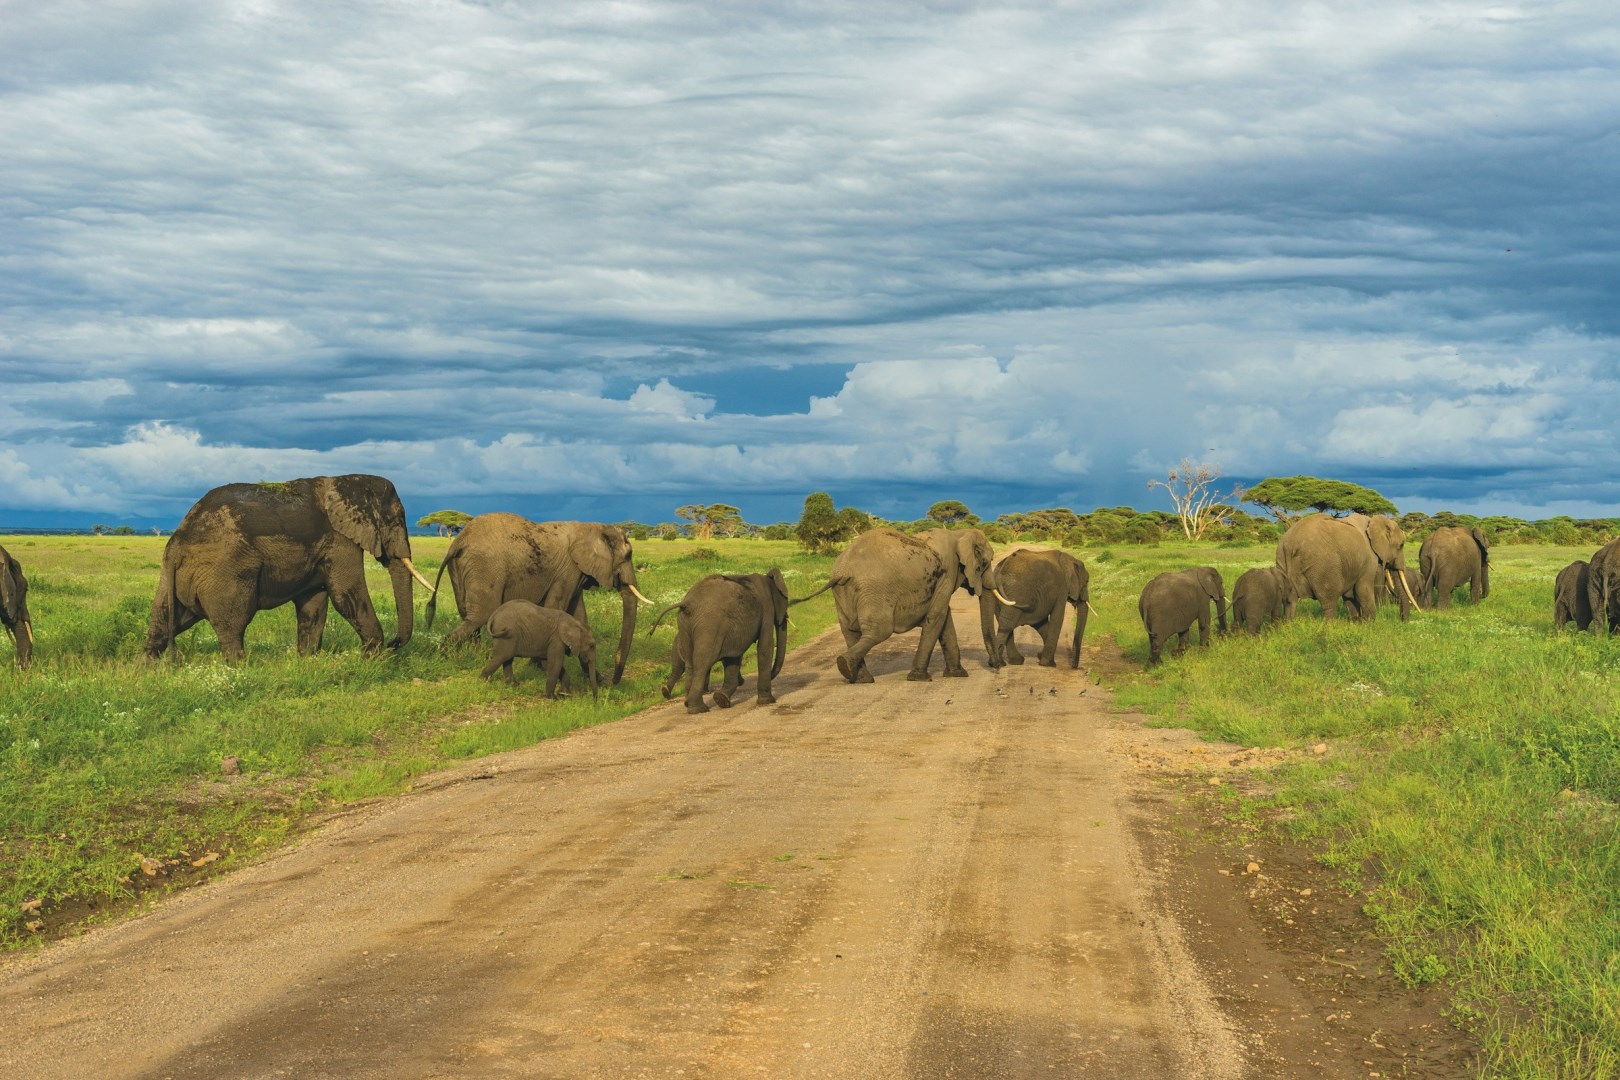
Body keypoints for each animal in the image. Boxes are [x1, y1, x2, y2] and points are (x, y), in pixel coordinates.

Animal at [143, 474, 433, 662]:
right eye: (397, 519)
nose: (395, 645)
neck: (347, 481)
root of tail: (177, 542)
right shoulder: (339, 540)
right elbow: (345, 594)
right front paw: (373, 661)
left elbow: (313, 604)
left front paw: (307, 662)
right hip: (225, 573)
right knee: (233, 625)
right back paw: (240, 670)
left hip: (174, 577)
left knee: (165, 620)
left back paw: (145, 672)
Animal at [425, 514, 651, 684]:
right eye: (628, 555)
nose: (615, 681)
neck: (593, 527)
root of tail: (458, 541)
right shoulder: (568, 571)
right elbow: (556, 607)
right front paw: (542, 666)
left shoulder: (577, 573)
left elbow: (579, 617)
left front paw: (596, 679)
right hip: (485, 567)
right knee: (480, 615)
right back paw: (443, 657)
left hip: (462, 568)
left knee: (468, 615)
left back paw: (473, 655)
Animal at [649, 569, 789, 714]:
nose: (772, 674)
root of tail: (686, 603)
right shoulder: (767, 609)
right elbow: (765, 648)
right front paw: (767, 701)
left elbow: (733, 657)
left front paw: (722, 699)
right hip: (708, 625)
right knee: (702, 663)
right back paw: (698, 709)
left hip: (684, 625)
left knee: (690, 664)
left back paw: (687, 703)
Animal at [1277, 514, 1415, 622]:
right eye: (1401, 545)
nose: (1404, 621)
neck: (1374, 520)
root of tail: (1290, 545)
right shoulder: (1369, 560)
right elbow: (1363, 590)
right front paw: (1369, 624)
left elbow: (1349, 595)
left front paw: (1356, 623)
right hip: (1322, 566)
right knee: (1329, 601)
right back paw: (1329, 629)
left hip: (1281, 560)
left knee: (1290, 601)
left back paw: (1288, 626)